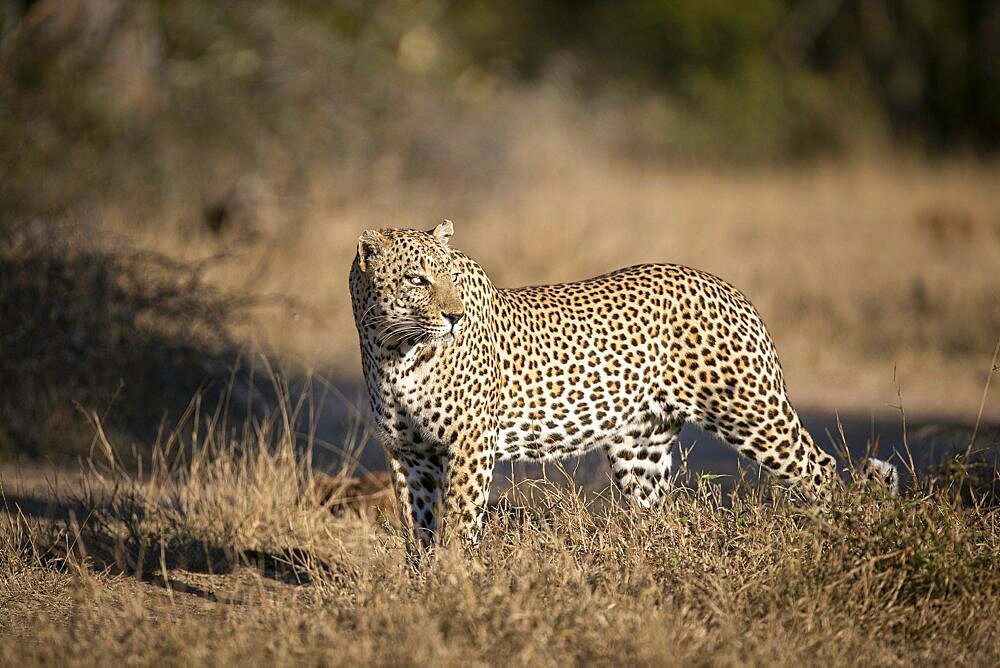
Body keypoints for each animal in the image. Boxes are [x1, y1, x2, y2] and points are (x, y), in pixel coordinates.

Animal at [350, 222, 900, 544]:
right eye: (417, 279)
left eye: (452, 278)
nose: (454, 316)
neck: (393, 350)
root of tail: (727, 287)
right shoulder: (408, 455)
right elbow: (417, 530)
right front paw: (422, 589)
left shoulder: (469, 448)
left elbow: (459, 527)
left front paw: (458, 584)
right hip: (641, 448)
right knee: (657, 513)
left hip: (751, 412)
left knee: (822, 470)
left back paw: (838, 536)